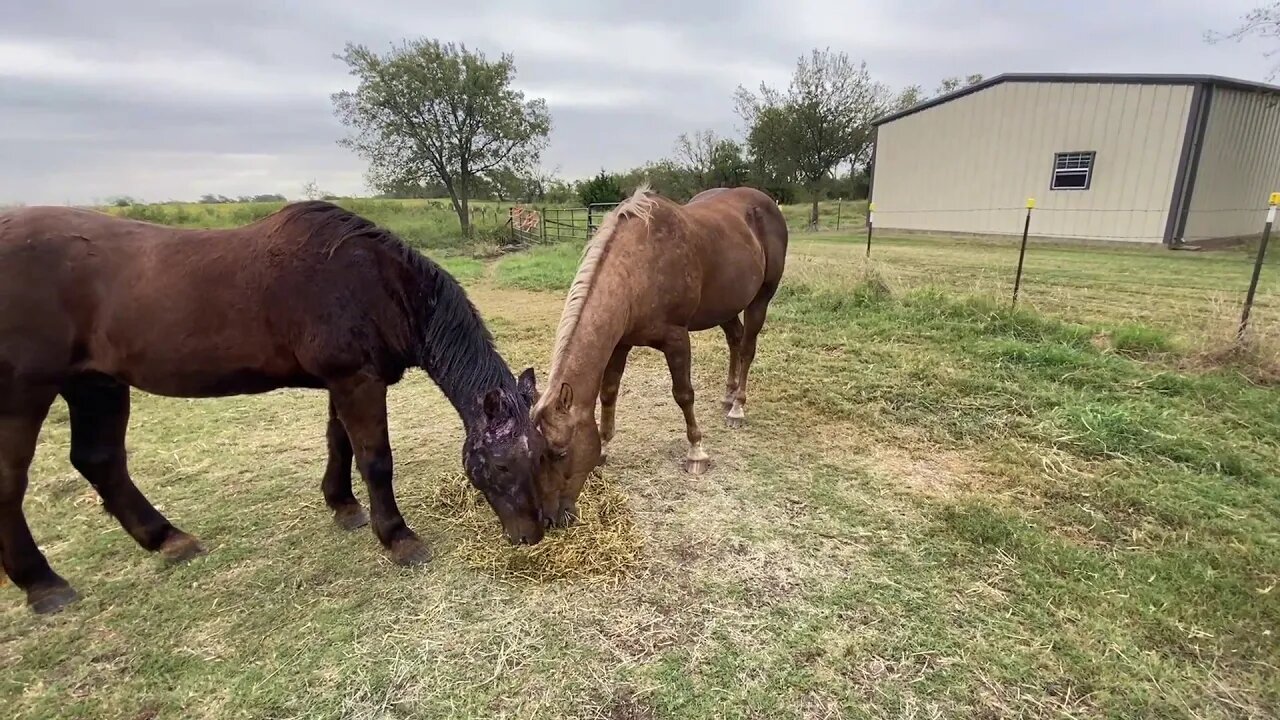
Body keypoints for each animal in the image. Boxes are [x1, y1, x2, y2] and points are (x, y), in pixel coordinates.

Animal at [0, 199, 545, 609]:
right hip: (25, 395)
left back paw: (168, 539)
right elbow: (374, 459)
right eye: (499, 466)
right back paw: (43, 584)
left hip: (96, 384)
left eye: (543, 457)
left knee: (101, 461)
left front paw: (343, 507)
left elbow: (338, 444)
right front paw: (398, 538)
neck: (374, 282)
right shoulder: (357, 381)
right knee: (13, 483)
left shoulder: (344, 383)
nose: (531, 536)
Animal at [524, 181, 783, 525]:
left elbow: (683, 394)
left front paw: (697, 452)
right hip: (725, 307)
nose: (551, 519)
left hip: (760, 299)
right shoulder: (620, 343)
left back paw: (737, 407)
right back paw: (727, 397)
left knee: (748, 348)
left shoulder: (676, 339)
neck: (637, 267)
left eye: (561, 452)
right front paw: (604, 447)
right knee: (735, 341)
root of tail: (765, 201)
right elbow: (609, 392)